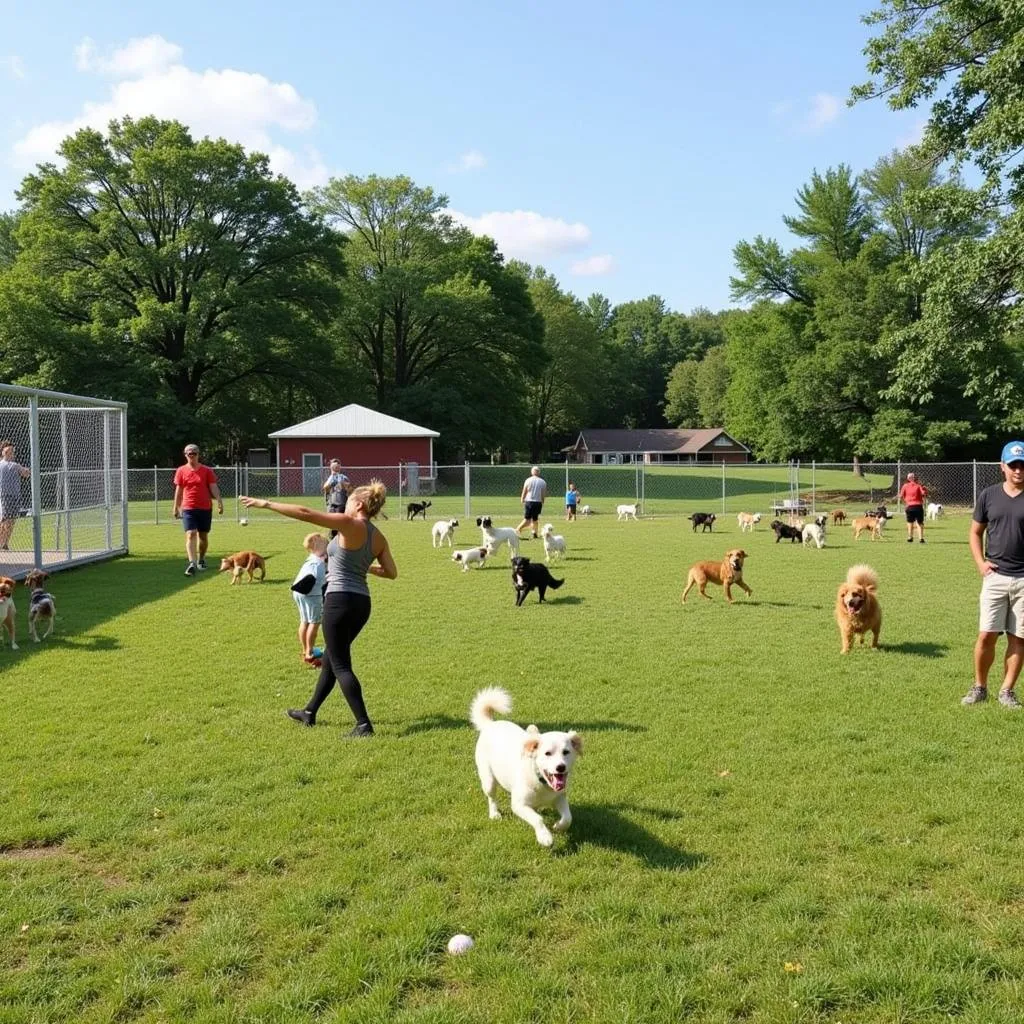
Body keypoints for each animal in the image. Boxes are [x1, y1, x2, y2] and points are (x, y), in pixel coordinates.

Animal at [471, 688, 585, 847]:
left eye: (566, 752)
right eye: (547, 753)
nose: (560, 767)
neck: (541, 781)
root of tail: (490, 724)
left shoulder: (560, 797)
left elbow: (568, 818)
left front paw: (557, 827)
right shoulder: (518, 805)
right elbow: (537, 819)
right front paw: (545, 837)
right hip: (488, 780)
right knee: (491, 797)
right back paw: (494, 814)